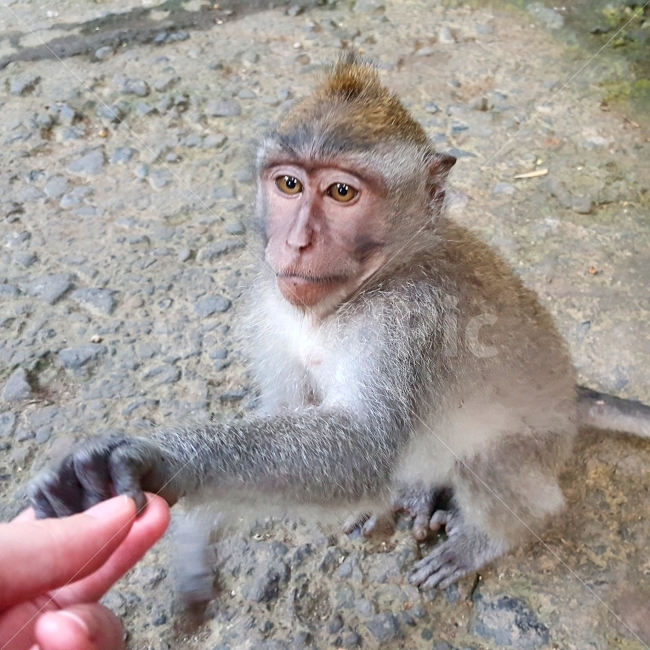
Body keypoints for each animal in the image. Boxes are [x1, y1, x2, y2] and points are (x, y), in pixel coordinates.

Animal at [29, 54, 650, 595]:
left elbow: (362, 447)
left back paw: (486, 537)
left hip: (538, 443)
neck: (357, 293)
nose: (297, 242)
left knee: (492, 464)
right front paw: (192, 536)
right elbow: (289, 411)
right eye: (289, 185)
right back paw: (417, 494)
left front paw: (158, 461)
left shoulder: (412, 318)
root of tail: (571, 394)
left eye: (342, 192)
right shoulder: (271, 303)